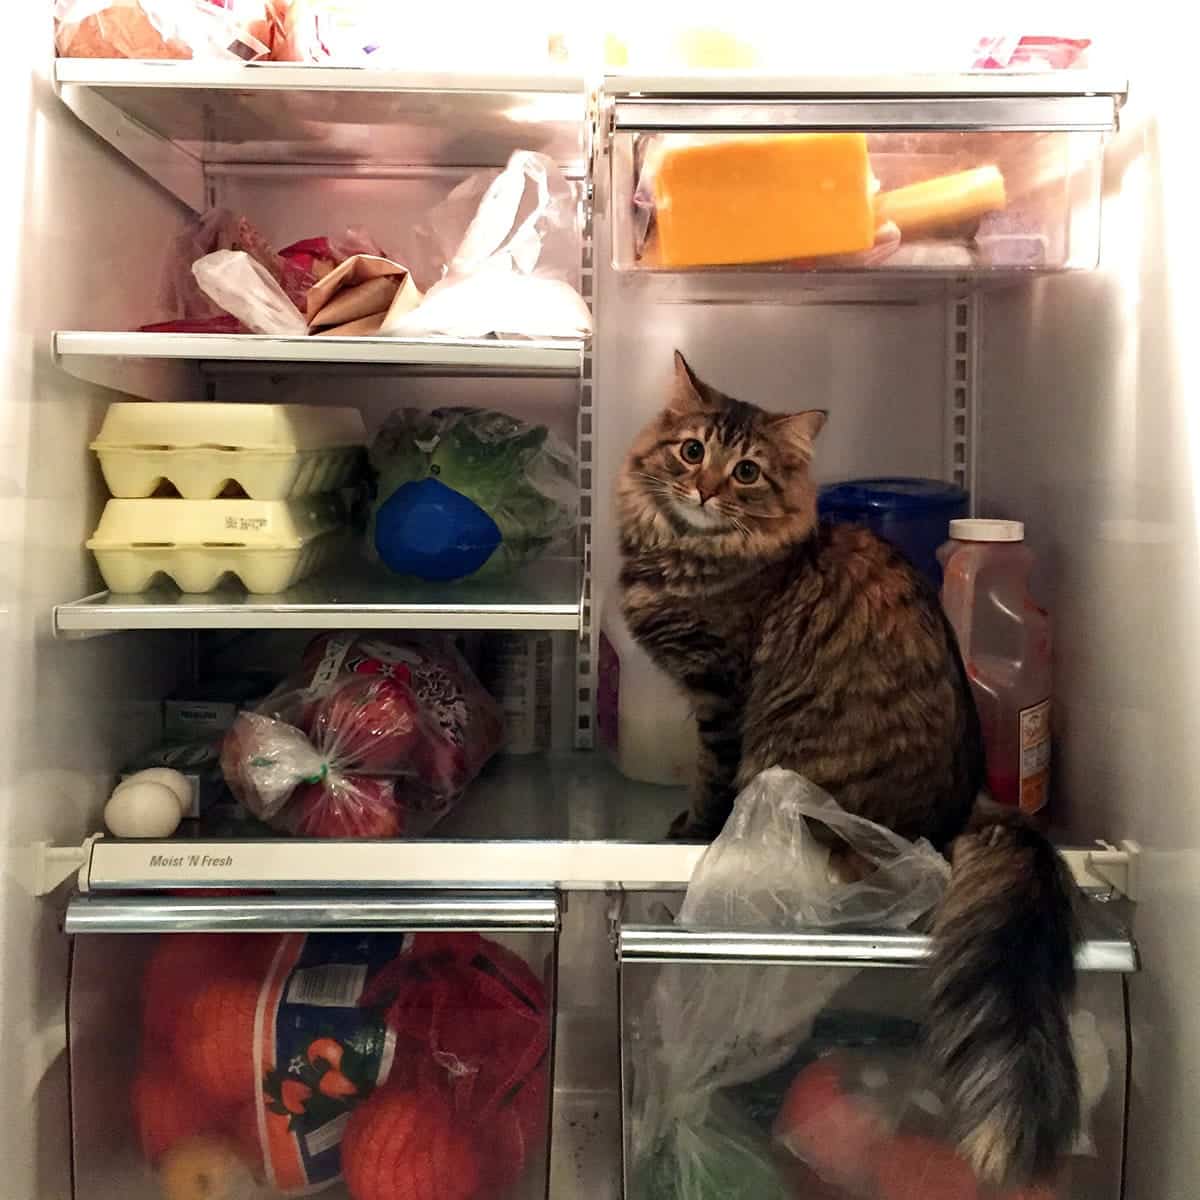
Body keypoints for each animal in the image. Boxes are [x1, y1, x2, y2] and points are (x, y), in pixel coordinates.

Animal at [619, 350, 1080, 1185]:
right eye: (692, 452)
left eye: (746, 472)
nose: (704, 491)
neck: (694, 553)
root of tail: (968, 803)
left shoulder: (723, 693)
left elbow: (710, 776)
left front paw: (694, 830)